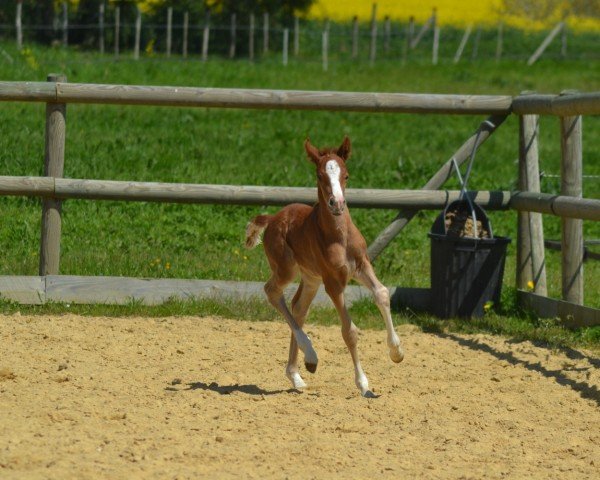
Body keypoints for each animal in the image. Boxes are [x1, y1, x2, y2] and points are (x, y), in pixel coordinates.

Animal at [244, 136, 404, 398]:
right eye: (320, 175)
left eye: (346, 175)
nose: (336, 203)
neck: (339, 236)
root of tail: (273, 218)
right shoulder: (333, 283)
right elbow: (349, 331)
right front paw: (363, 384)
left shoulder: (361, 266)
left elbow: (381, 293)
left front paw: (396, 352)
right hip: (287, 269)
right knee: (272, 291)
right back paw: (310, 355)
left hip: (311, 278)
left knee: (298, 307)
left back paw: (297, 374)